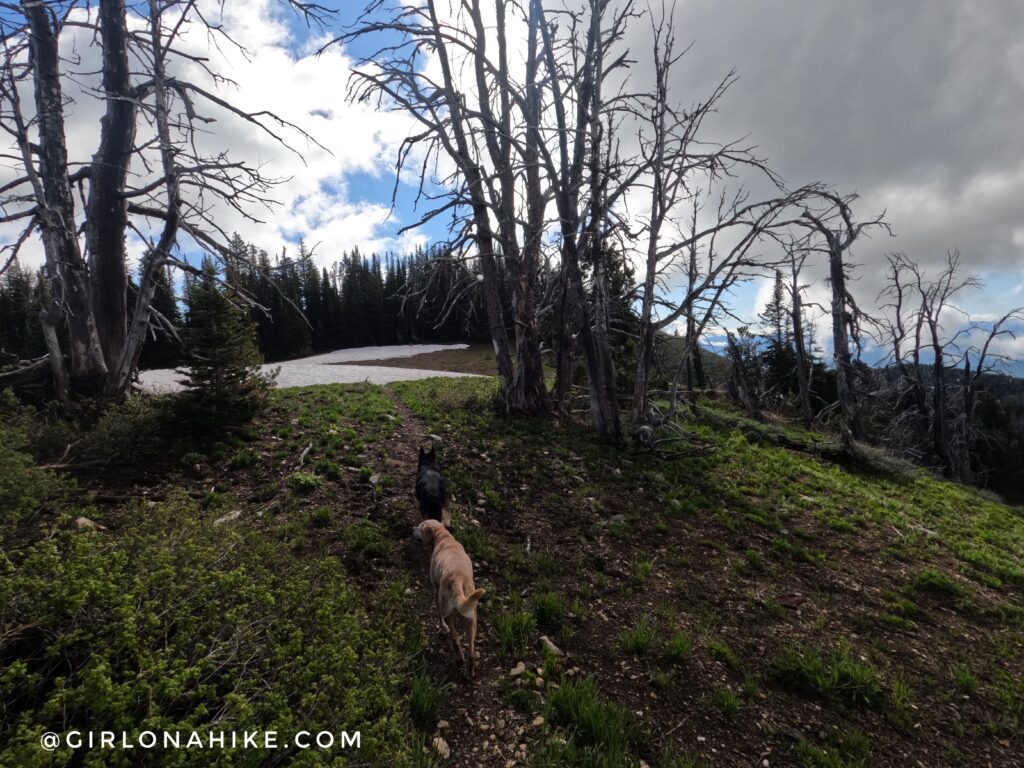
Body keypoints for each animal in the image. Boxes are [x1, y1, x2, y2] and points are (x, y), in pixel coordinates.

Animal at [411, 520, 483, 675]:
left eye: (420, 527)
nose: (412, 530)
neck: (443, 536)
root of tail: (458, 578)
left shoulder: (436, 590)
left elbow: (438, 614)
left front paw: (442, 629)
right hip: (472, 617)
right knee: (471, 650)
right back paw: (470, 671)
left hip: (449, 611)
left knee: (455, 639)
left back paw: (459, 659)